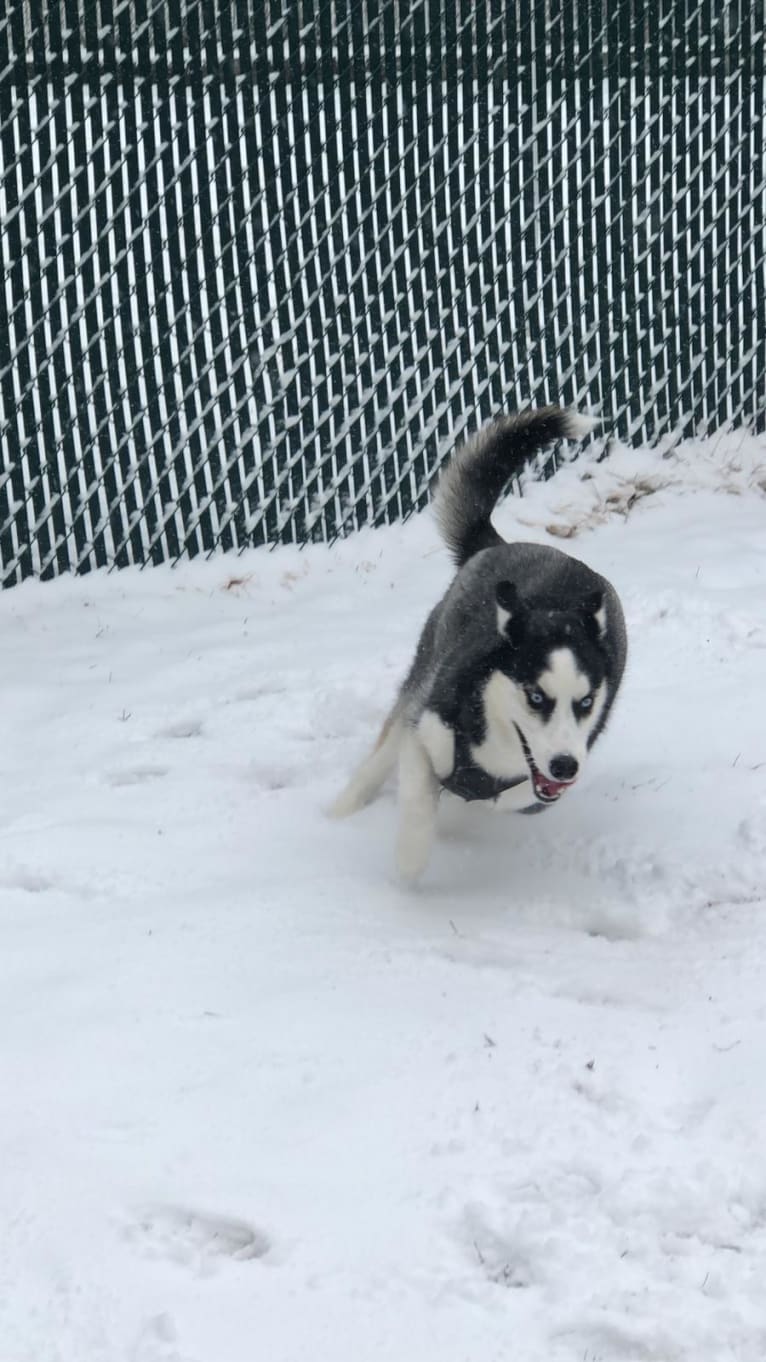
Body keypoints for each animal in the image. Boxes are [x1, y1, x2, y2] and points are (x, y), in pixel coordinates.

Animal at [327, 403, 621, 877]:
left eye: (586, 702)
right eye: (535, 697)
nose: (563, 765)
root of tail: (501, 544)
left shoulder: (543, 784)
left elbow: (502, 798)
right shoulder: (425, 730)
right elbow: (420, 799)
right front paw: (406, 872)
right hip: (424, 670)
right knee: (384, 750)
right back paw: (340, 813)